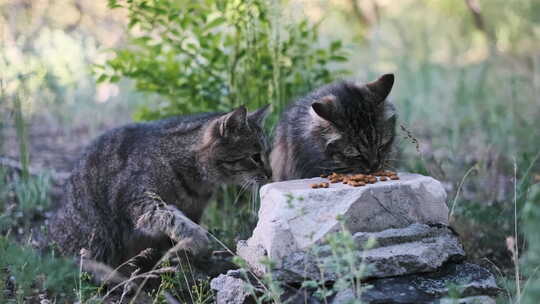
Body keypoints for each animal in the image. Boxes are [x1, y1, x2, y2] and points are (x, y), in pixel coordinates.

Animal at [50, 105, 270, 268]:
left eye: (266, 153)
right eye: (255, 157)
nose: (270, 174)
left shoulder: (194, 210)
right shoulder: (140, 200)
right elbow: (174, 219)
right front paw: (198, 242)